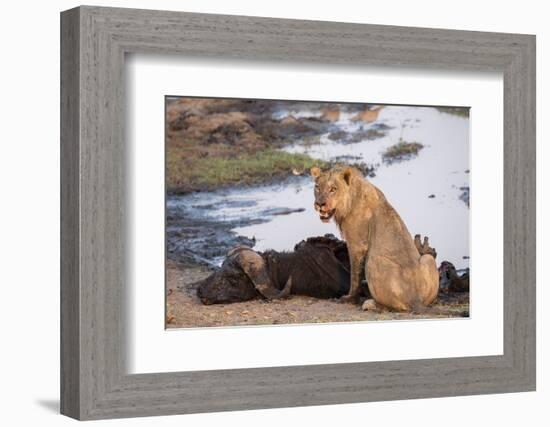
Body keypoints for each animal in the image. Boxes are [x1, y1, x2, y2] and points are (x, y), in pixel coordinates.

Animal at [312, 166, 442, 312]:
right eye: (317, 187)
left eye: (333, 189)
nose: (320, 204)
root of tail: (416, 300)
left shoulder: (357, 244)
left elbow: (355, 275)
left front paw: (349, 298)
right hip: (428, 259)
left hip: (373, 260)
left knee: (393, 306)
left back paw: (370, 303)